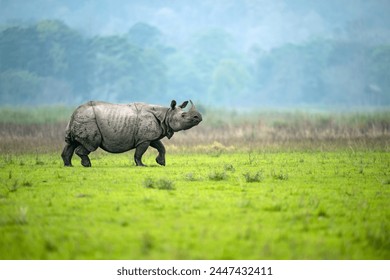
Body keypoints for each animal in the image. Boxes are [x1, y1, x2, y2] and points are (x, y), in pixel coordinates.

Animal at [61, 100, 201, 166]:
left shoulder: (150, 136)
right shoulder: (144, 139)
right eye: (183, 115)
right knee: (91, 144)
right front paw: (142, 165)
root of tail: (74, 113)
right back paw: (87, 165)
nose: (198, 117)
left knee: (71, 143)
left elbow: (161, 147)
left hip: (79, 119)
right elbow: (139, 153)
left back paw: (69, 166)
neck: (166, 114)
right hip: (89, 120)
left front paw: (161, 162)